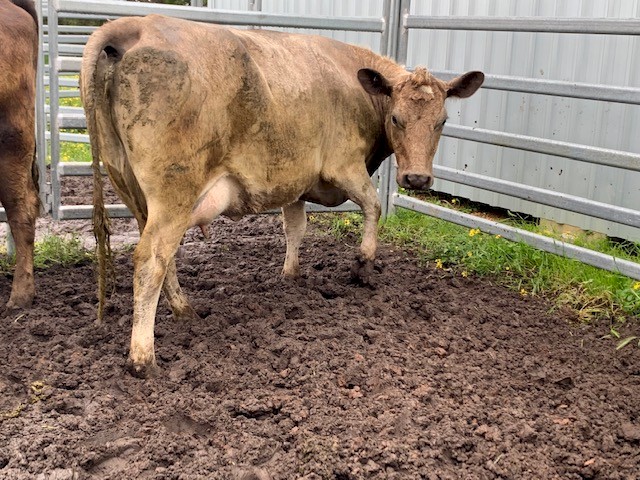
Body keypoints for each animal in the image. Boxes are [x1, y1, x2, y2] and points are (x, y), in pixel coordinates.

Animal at [80, 15, 483, 377]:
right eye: (397, 119)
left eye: (441, 122)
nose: (416, 178)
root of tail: (136, 23)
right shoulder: (343, 164)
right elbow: (373, 205)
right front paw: (363, 264)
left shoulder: (294, 179)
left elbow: (295, 228)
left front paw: (290, 274)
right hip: (174, 191)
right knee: (152, 259)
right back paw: (143, 358)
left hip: (132, 188)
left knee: (164, 258)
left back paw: (186, 312)